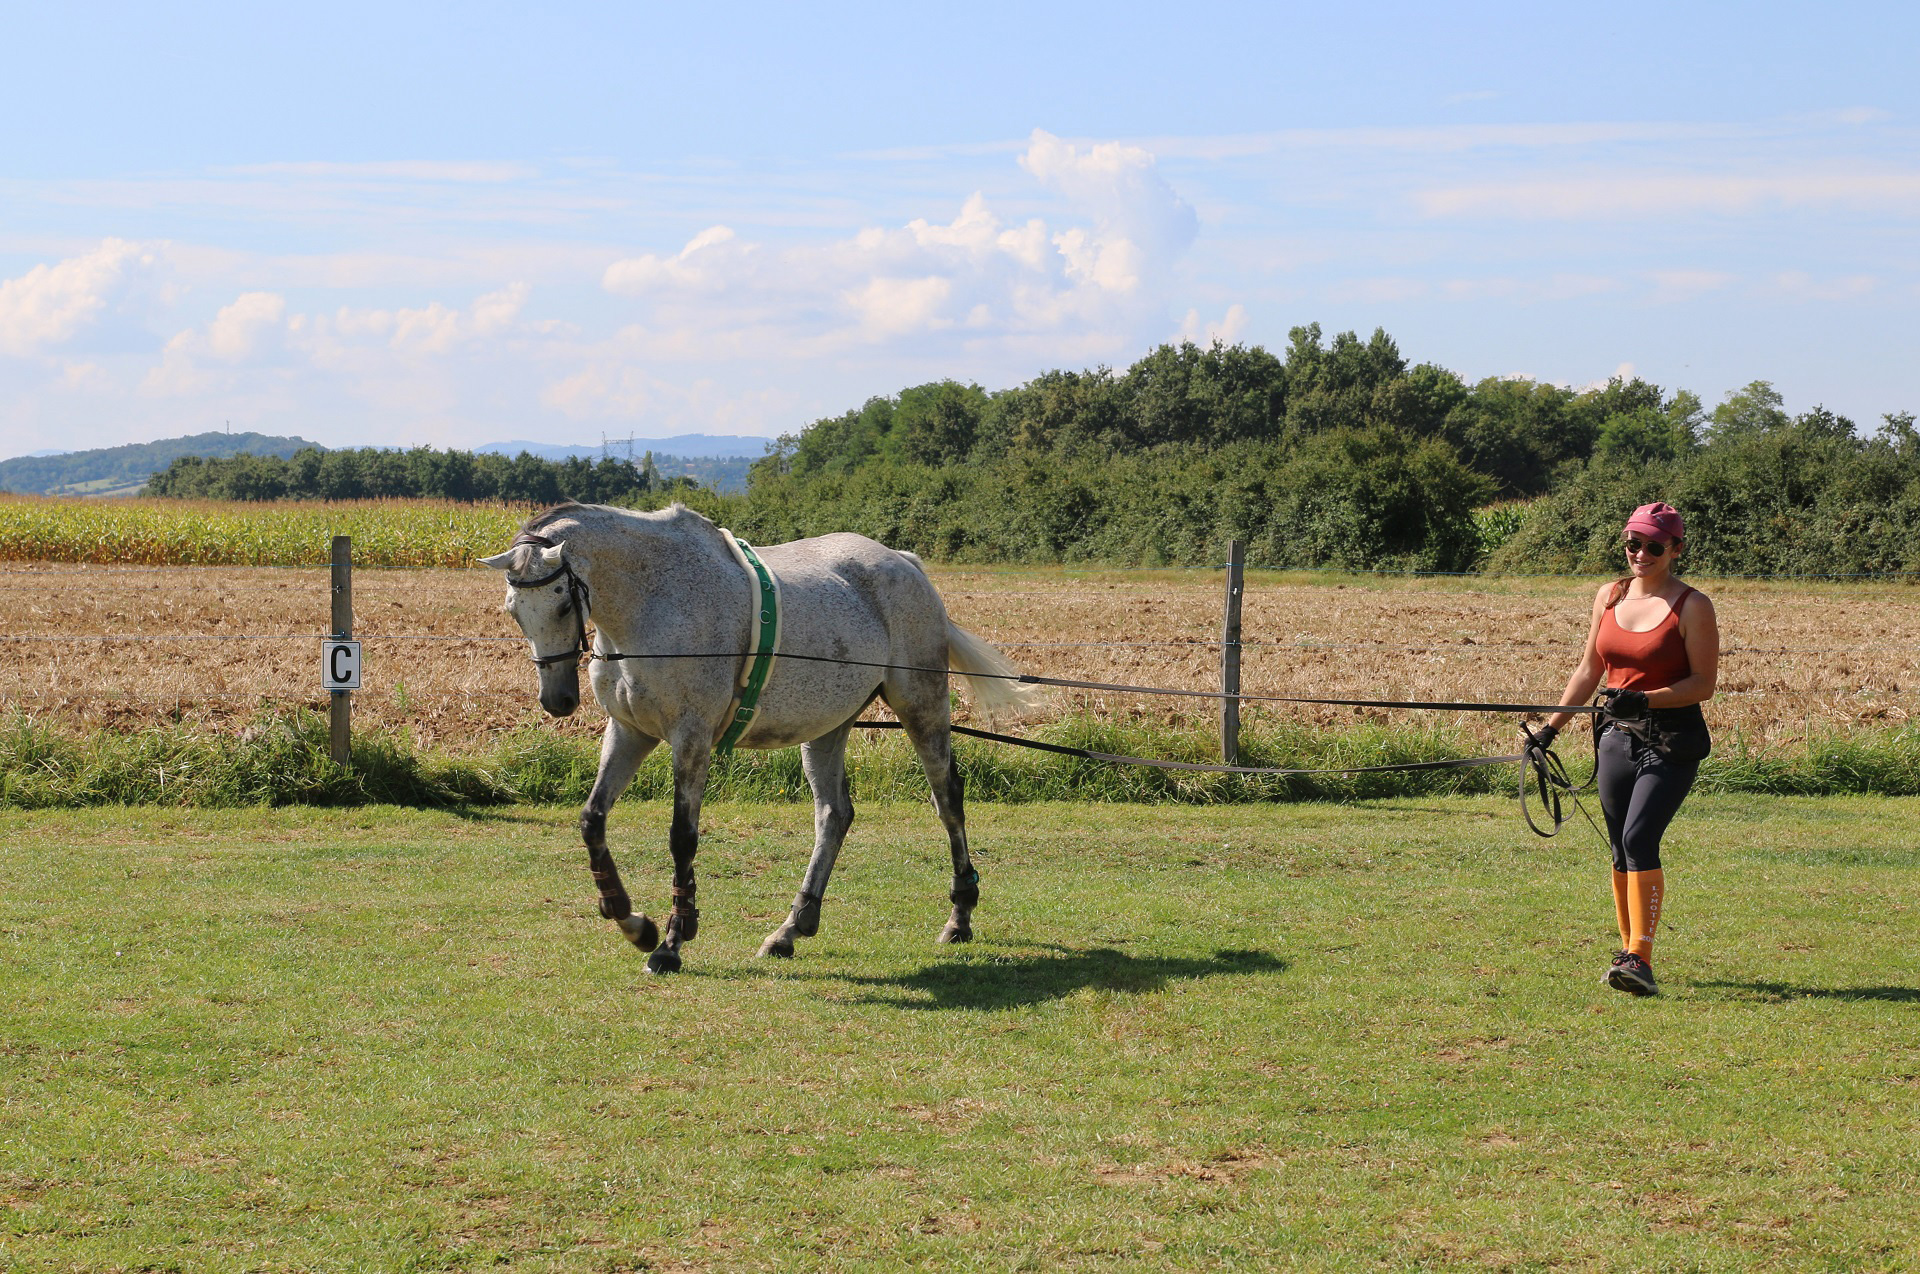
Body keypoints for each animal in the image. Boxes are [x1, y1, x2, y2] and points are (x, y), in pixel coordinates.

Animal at [480, 501, 1032, 974]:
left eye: (558, 606)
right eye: (513, 611)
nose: (557, 701)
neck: (653, 601)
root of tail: (905, 563)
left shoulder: (691, 737)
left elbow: (682, 838)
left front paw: (671, 943)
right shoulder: (631, 732)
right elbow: (592, 820)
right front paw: (633, 923)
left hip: (921, 707)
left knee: (948, 800)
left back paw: (959, 917)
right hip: (826, 729)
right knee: (834, 815)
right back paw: (792, 929)